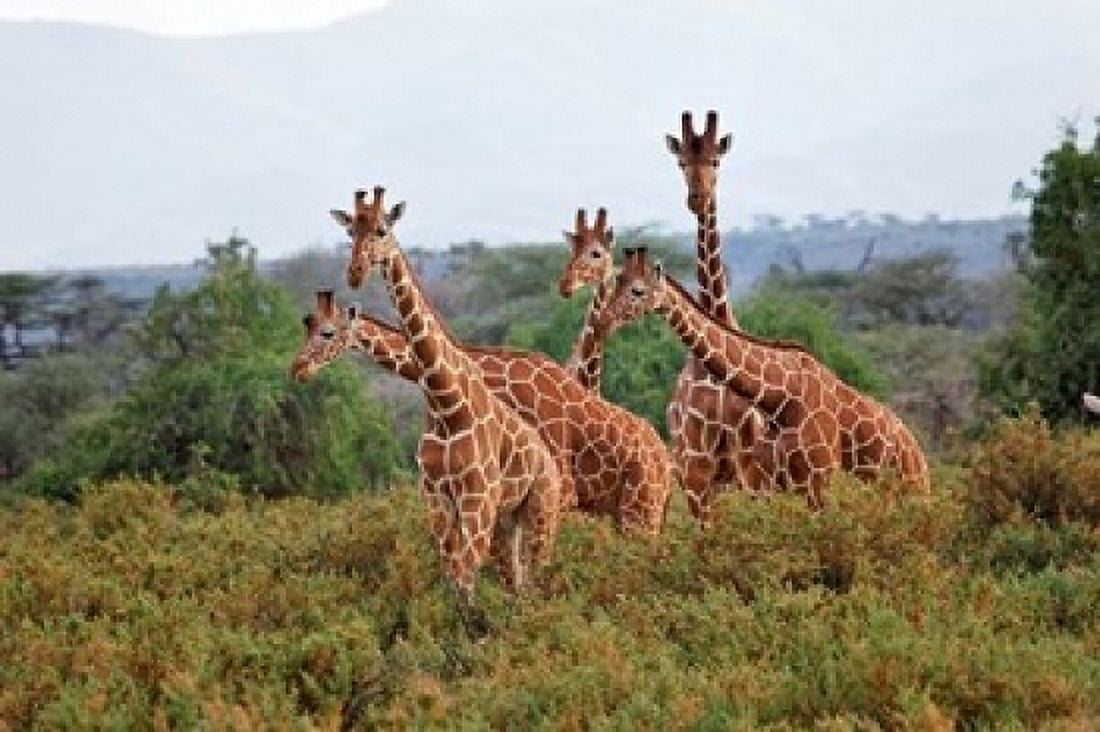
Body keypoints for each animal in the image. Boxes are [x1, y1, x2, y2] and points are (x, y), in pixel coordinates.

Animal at [324, 188, 562, 601]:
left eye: (383, 229)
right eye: (350, 232)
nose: (354, 274)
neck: (445, 399)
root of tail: (552, 464)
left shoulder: (476, 500)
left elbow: (464, 576)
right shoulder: (436, 499)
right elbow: (452, 574)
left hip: (540, 510)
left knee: (536, 578)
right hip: (508, 520)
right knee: (517, 581)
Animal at [599, 248, 930, 507]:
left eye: (637, 290)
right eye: (617, 282)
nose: (605, 318)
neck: (780, 399)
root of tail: (915, 448)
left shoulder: (819, 478)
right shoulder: (774, 483)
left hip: (910, 486)